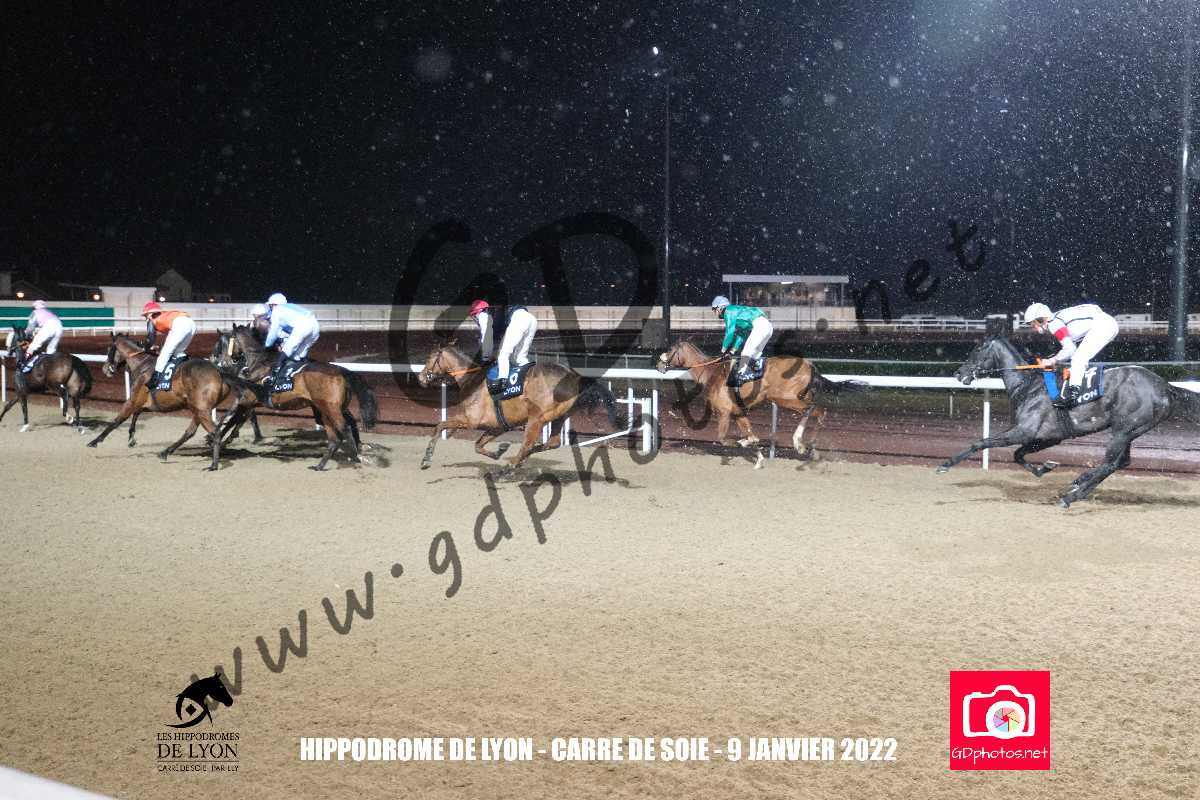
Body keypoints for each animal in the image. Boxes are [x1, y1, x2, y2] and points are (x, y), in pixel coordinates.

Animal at [85, 334, 250, 470]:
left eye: (109, 349)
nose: (105, 369)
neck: (142, 365)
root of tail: (219, 372)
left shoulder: (133, 401)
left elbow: (116, 421)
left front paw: (94, 441)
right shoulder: (145, 403)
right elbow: (136, 415)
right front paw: (131, 438)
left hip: (202, 409)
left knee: (215, 432)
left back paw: (213, 464)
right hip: (198, 408)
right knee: (190, 432)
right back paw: (166, 451)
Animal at [214, 324, 378, 471]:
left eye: (221, 345)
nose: (222, 363)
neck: (257, 363)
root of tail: (342, 371)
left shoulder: (246, 400)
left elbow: (231, 421)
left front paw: (218, 441)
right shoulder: (248, 403)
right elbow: (233, 420)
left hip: (331, 409)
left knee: (345, 429)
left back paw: (355, 457)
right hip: (327, 409)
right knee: (338, 436)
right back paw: (321, 465)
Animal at [416, 343, 623, 470]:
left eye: (429, 357)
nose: (420, 377)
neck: (471, 379)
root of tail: (575, 377)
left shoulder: (471, 420)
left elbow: (440, 426)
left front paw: (426, 458)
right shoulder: (497, 426)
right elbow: (478, 445)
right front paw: (498, 452)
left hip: (537, 417)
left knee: (527, 444)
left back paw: (511, 466)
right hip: (558, 416)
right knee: (552, 442)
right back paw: (520, 460)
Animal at [656, 339, 866, 466]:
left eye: (670, 350)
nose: (658, 364)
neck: (711, 372)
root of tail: (810, 365)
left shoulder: (724, 412)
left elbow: (725, 438)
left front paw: (744, 444)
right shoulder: (738, 412)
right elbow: (750, 434)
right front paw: (758, 457)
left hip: (786, 398)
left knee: (816, 410)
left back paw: (801, 443)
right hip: (798, 397)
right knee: (819, 411)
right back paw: (808, 447)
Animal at [937, 335, 1200, 507]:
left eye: (976, 351)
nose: (958, 373)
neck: (1027, 385)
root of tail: (1165, 386)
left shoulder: (1024, 431)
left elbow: (981, 443)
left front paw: (945, 465)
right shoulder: (1049, 437)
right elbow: (1018, 455)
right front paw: (1045, 468)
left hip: (1124, 428)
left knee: (1110, 463)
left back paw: (1071, 495)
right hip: (1130, 429)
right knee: (1120, 462)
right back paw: (1078, 484)